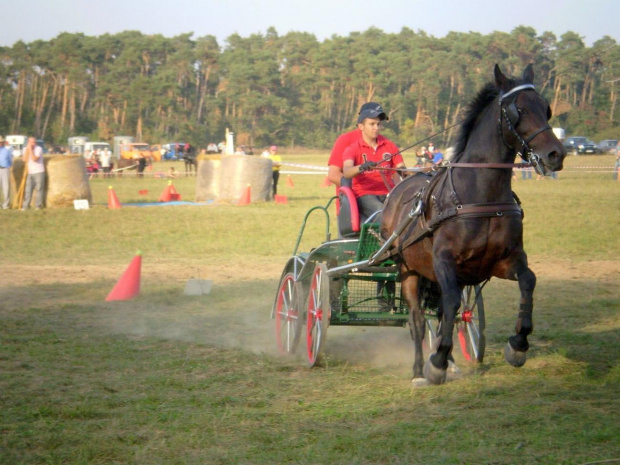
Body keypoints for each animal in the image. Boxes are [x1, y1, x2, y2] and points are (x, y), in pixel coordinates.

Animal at [378, 65, 568, 384]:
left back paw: (451, 361)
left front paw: (518, 345)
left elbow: (528, 282)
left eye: (546, 108)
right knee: (417, 319)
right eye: (518, 109)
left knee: (442, 314)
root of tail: (399, 189)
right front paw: (436, 362)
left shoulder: (503, 261)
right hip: (407, 270)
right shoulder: (443, 262)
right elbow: (451, 305)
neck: (479, 196)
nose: (556, 154)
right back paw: (419, 369)